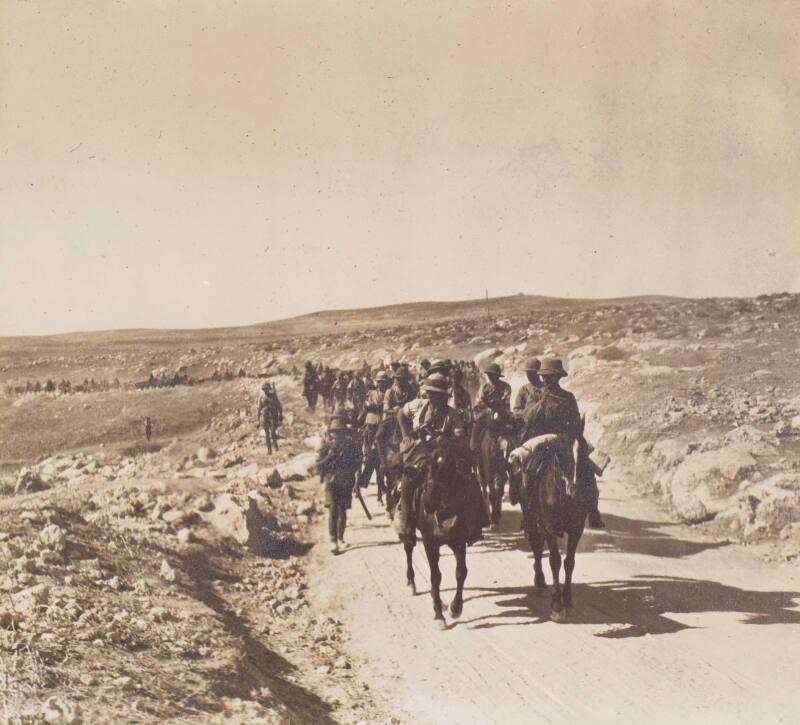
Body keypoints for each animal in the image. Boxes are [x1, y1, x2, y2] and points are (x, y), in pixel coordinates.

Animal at [396, 430, 472, 628]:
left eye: (448, 468)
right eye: (424, 470)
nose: (428, 500)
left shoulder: (459, 542)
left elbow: (461, 572)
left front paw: (455, 607)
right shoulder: (430, 543)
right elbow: (436, 576)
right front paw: (438, 613)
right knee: (408, 547)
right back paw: (412, 581)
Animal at [510, 422, 592, 620]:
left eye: (584, 450)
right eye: (560, 453)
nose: (573, 489)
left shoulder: (576, 529)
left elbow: (569, 562)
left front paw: (567, 599)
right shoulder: (549, 527)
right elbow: (554, 561)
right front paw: (556, 604)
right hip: (531, 518)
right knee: (537, 546)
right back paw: (539, 580)